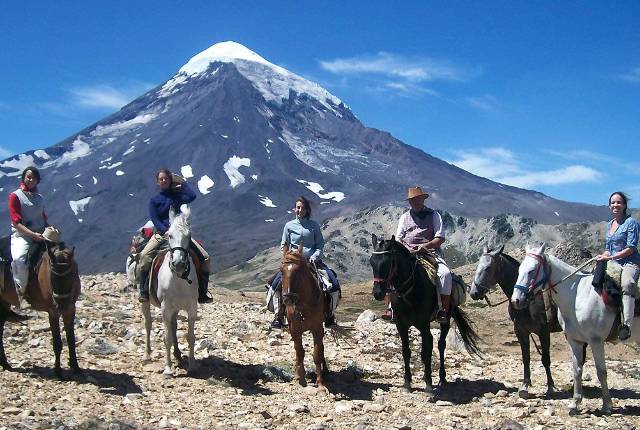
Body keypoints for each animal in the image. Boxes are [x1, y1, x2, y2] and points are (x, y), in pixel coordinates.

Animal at [0, 240, 81, 378]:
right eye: (51, 277)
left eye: (71, 275)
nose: (61, 304)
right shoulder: (53, 311)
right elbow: (57, 343)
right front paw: (58, 371)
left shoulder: (70, 309)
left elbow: (71, 340)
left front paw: (76, 367)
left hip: (4, 302)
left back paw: (5, 364)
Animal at [141, 203, 199, 374]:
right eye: (169, 235)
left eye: (189, 235)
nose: (178, 263)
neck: (179, 279)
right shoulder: (165, 308)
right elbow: (166, 338)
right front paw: (168, 368)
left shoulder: (192, 308)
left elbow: (190, 337)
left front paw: (192, 365)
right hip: (145, 302)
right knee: (148, 324)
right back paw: (147, 355)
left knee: (173, 327)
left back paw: (178, 355)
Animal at [282, 244, 328, 388]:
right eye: (281, 271)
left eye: (299, 271)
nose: (288, 299)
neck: (304, 304)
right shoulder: (295, 329)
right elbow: (299, 352)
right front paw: (301, 378)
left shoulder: (317, 328)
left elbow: (317, 354)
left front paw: (320, 383)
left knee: (322, 348)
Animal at [470, 244, 560, 398]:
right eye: (477, 266)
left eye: (488, 268)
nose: (474, 293)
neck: (527, 300)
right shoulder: (520, 331)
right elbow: (526, 358)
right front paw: (525, 385)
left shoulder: (543, 332)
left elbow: (546, 359)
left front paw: (550, 387)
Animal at [510, 245, 640, 416]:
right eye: (519, 270)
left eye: (532, 271)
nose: (516, 300)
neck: (577, 296)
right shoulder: (574, 340)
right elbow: (577, 369)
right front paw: (575, 404)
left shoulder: (596, 341)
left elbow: (601, 372)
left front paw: (607, 406)